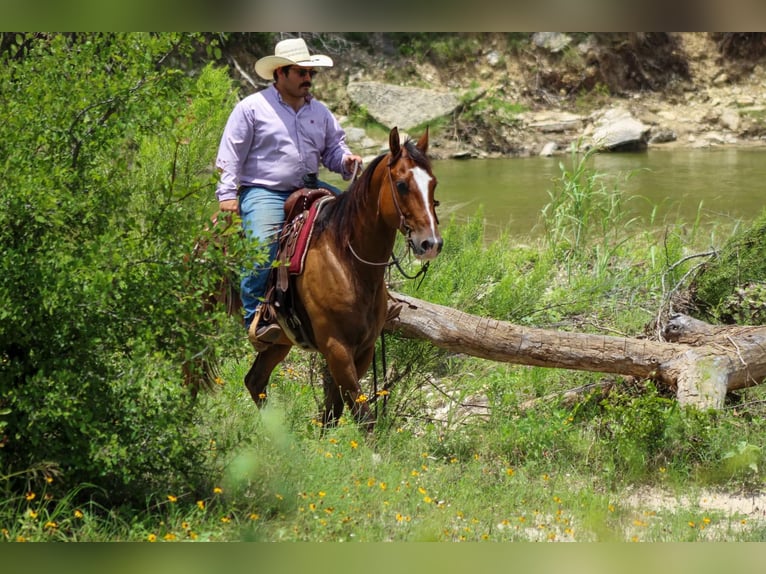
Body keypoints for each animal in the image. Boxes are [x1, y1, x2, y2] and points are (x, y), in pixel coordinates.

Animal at [240, 127, 444, 432]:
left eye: (433, 183)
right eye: (401, 184)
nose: (430, 243)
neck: (346, 262)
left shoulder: (363, 349)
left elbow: (333, 412)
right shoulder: (336, 347)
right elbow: (363, 416)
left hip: (279, 342)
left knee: (255, 381)